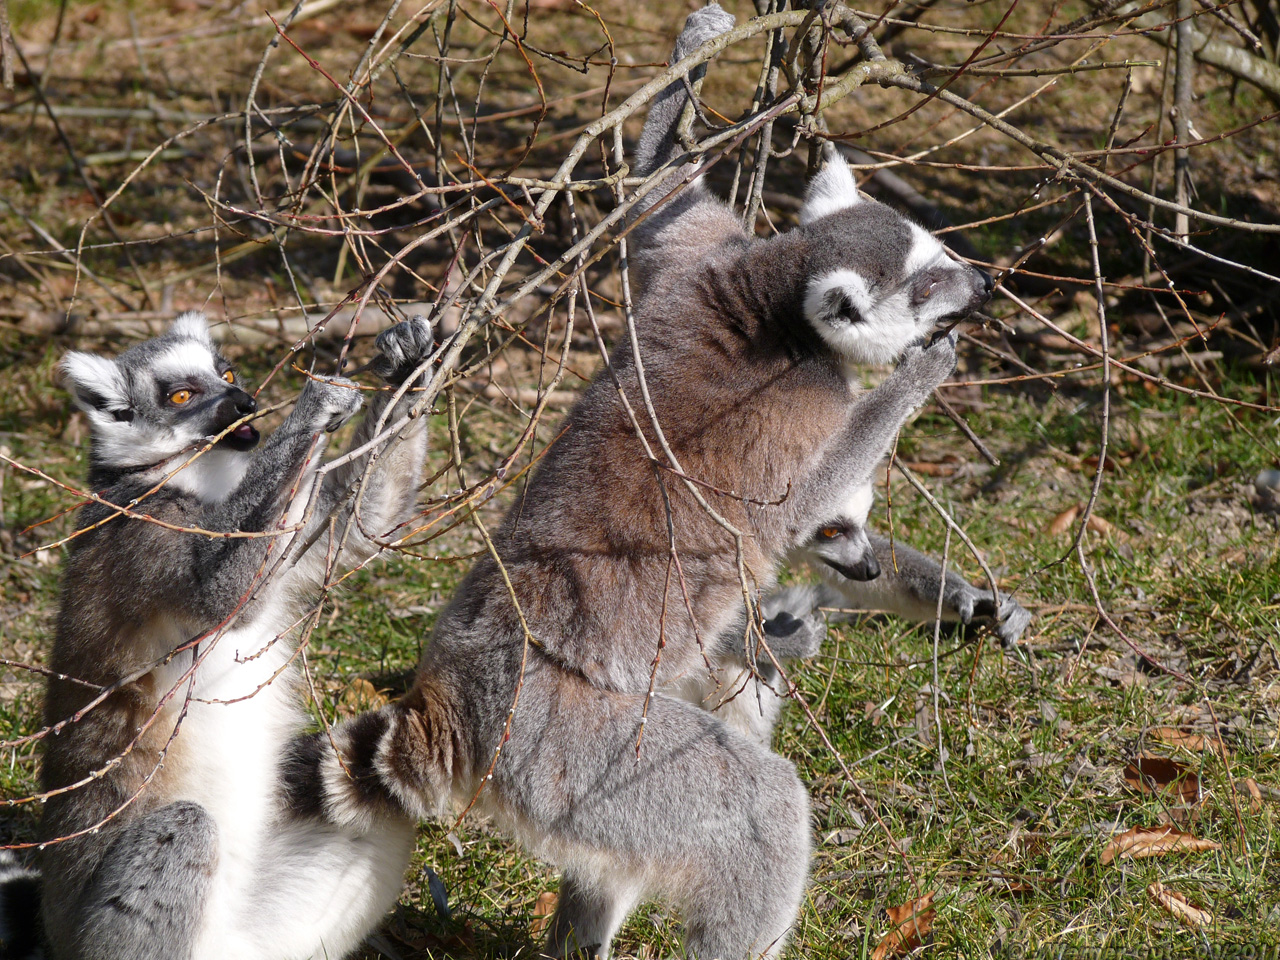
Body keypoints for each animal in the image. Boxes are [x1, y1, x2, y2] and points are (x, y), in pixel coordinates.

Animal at [4, 312, 435, 960]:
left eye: (226, 374)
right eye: (182, 396)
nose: (246, 402)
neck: (198, 481)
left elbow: (357, 529)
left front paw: (407, 364)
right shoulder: (141, 536)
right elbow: (224, 599)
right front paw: (315, 405)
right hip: (101, 924)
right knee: (185, 827)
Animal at [283, 6, 997, 958]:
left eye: (942, 253)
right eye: (921, 287)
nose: (981, 284)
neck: (778, 300)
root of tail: (451, 702)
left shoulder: (701, 264)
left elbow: (658, 207)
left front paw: (699, 42)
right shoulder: (796, 408)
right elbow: (797, 508)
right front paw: (922, 371)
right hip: (575, 748)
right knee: (759, 811)